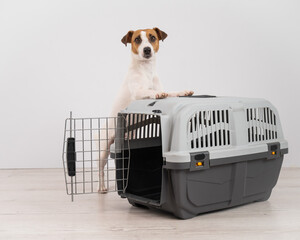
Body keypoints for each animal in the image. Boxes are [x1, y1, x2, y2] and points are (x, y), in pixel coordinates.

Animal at [97, 27, 193, 193]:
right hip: (104, 149)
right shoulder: (137, 92)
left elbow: (170, 92)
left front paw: (183, 92)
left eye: (152, 37)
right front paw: (157, 94)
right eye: (137, 39)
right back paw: (102, 186)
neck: (146, 70)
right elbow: (149, 91)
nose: (147, 49)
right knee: (100, 169)